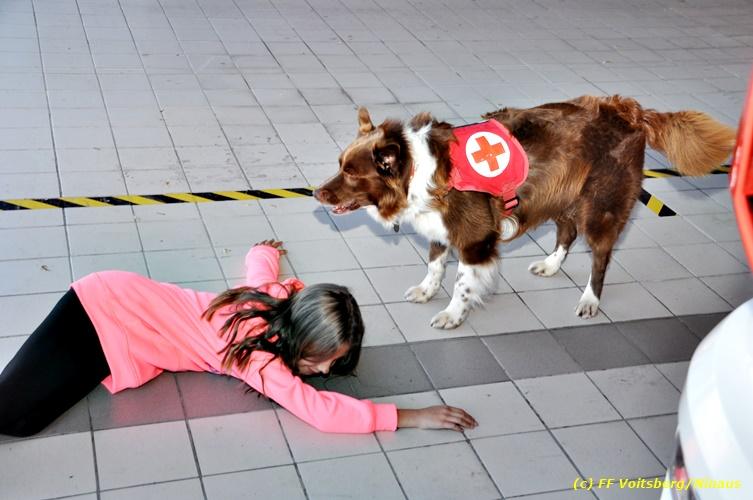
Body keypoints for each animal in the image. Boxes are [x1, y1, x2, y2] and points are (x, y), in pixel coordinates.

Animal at [314, 95, 736, 329]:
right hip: (563, 196)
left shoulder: (475, 239)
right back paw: (550, 265)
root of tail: (627, 111)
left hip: (599, 207)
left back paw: (590, 300)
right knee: (566, 234)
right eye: (339, 164)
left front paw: (452, 314)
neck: (418, 168)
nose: (317, 193)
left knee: (600, 256)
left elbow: (462, 282)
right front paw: (427, 291)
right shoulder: (441, 229)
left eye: (352, 173)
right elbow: (435, 266)